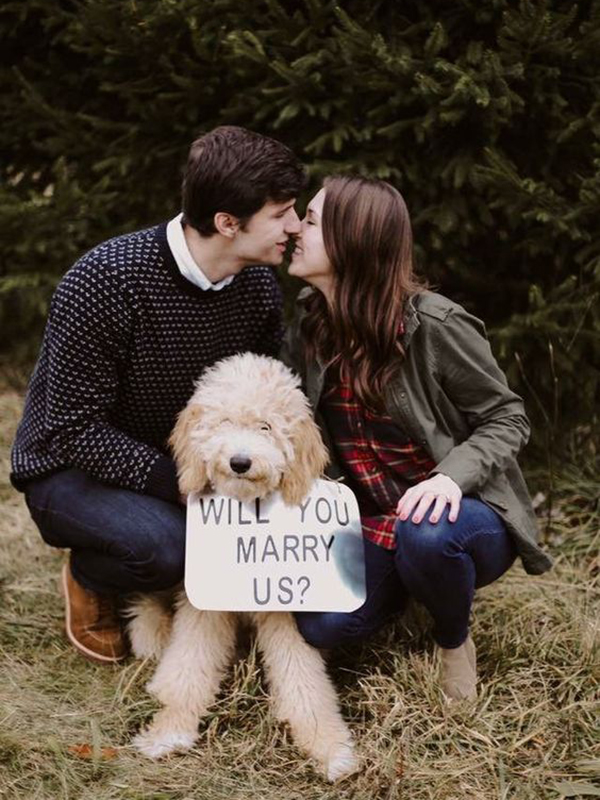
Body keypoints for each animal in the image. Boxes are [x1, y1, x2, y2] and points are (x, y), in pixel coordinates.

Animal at [126, 354, 358, 780]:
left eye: (266, 426)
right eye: (222, 422)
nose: (239, 462)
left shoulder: (286, 613)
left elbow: (305, 682)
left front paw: (330, 747)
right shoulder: (202, 609)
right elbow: (188, 666)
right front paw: (169, 732)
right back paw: (151, 635)